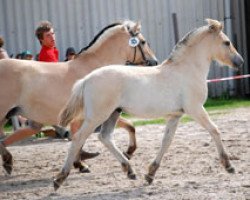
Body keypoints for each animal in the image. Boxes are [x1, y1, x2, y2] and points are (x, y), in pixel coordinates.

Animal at [0, 19, 157, 173]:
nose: (154, 61)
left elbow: (129, 126)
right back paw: (8, 161)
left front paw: (81, 163)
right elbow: (81, 138)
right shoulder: (97, 114)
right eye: (143, 42)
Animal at [53, 18, 243, 189]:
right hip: (97, 116)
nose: (240, 62)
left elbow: (166, 141)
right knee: (78, 138)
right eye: (227, 42)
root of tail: (86, 79)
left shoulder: (175, 115)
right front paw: (229, 166)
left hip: (113, 113)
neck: (186, 70)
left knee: (105, 137)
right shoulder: (195, 109)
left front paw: (150, 174)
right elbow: (215, 130)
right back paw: (59, 179)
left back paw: (130, 171)